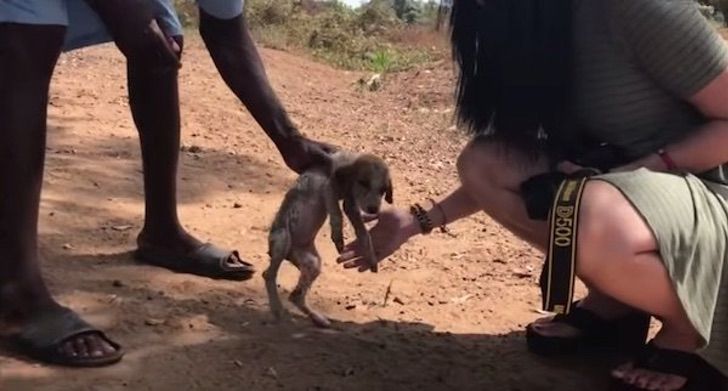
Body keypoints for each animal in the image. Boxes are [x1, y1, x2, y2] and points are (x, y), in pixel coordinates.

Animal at [264, 152, 392, 330]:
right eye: (363, 182)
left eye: (383, 190)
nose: (373, 209)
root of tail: (290, 253)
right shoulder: (329, 188)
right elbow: (335, 212)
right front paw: (337, 236)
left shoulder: (350, 204)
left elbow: (363, 233)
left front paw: (371, 257)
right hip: (282, 239)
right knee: (269, 275)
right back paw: (277, 309)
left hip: (313, 263)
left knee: (295, 296)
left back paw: (318, 319)